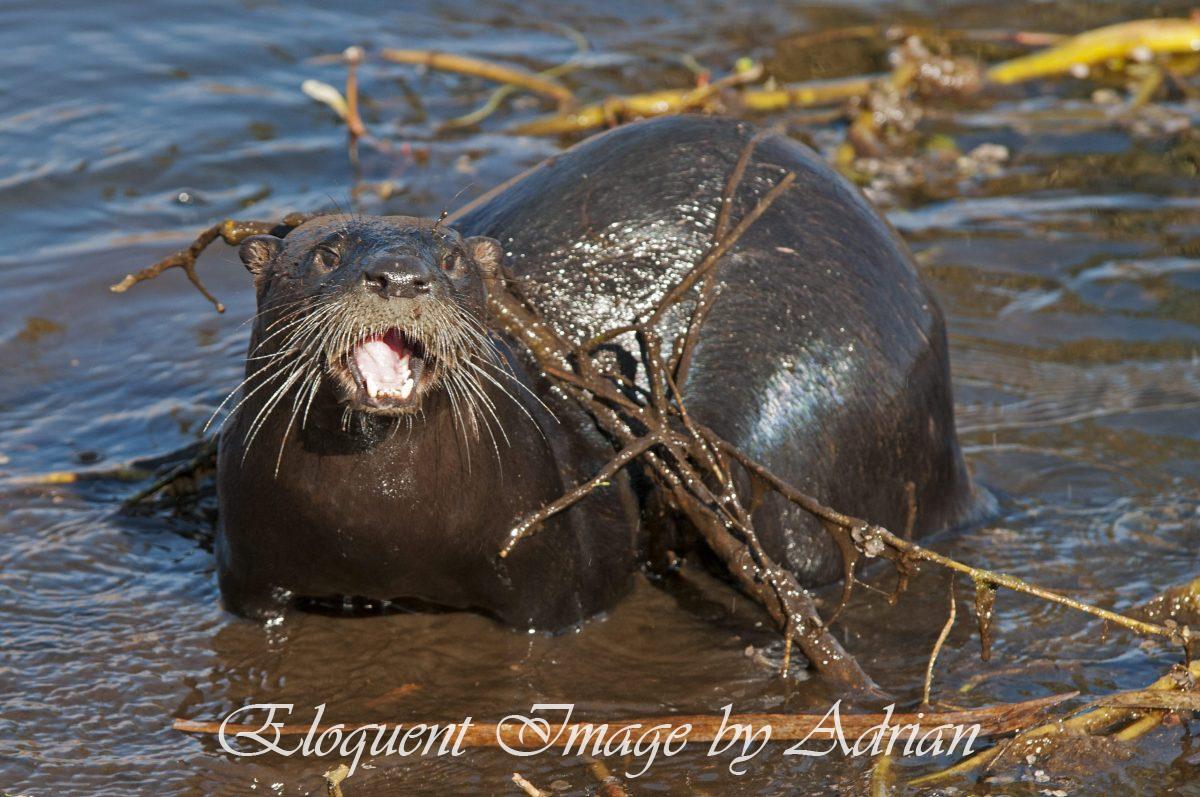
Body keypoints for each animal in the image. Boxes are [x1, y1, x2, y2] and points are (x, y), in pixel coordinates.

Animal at [216, 116, 982, 629]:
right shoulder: (249, 573)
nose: (400, 274)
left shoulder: (560, 571)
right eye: (326, 252)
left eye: (452, 258)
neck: (381, 524)